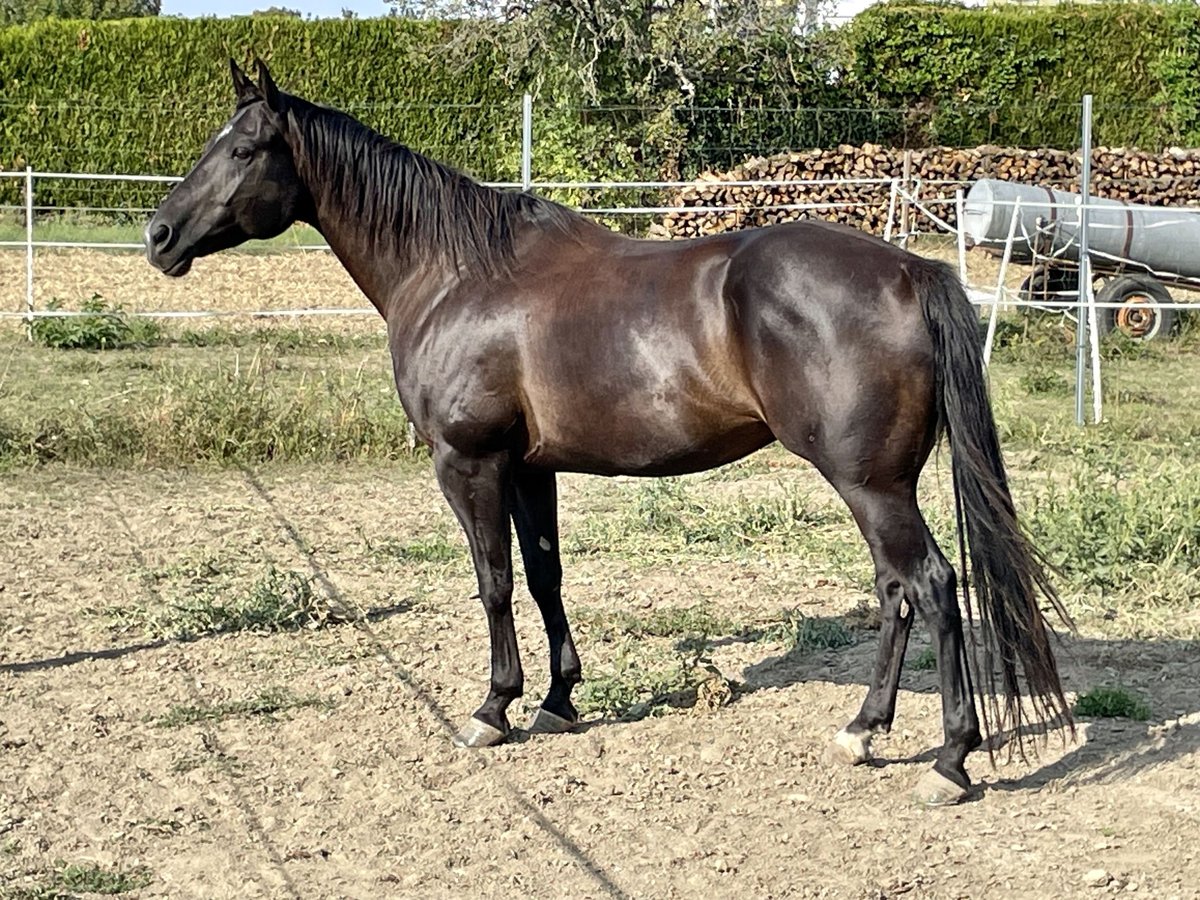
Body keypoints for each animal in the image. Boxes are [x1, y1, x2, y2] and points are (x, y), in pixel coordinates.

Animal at [145, 63, 1075, 811]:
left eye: (242, 149)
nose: (159, 236)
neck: (453, 273)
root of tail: (909, 269)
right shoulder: (530, 468)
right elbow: (544, 577)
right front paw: (558, 699)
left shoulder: (469, 462)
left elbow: (492, 583)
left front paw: (492, 710)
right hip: (879, 485)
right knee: (896, 591)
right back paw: (863, 730)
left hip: (871, 485)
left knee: (933, 586)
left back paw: (950, 761)